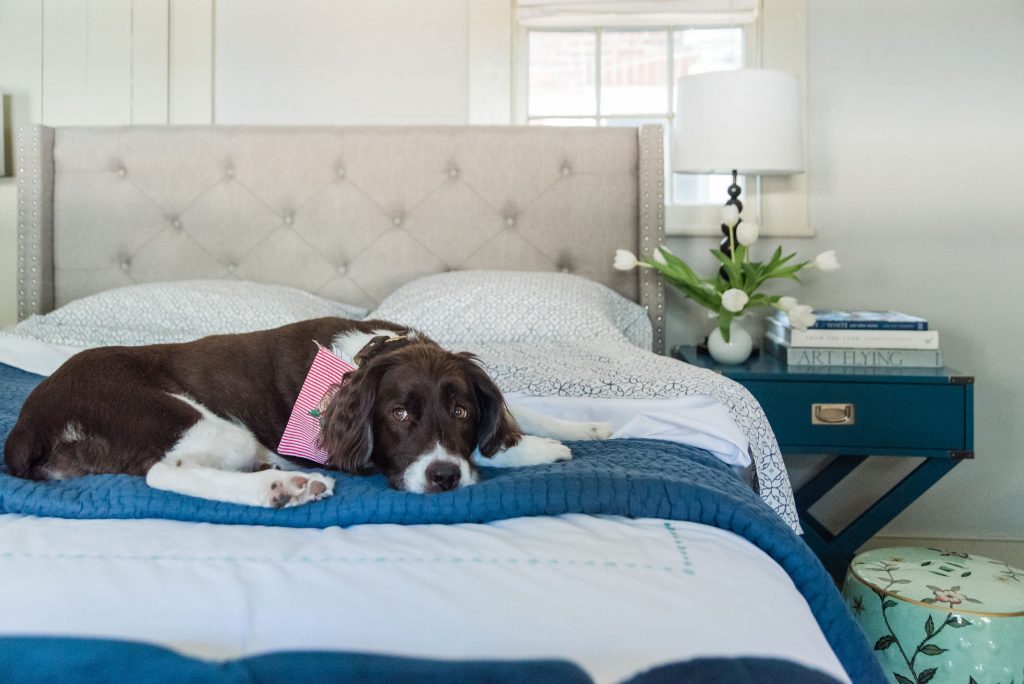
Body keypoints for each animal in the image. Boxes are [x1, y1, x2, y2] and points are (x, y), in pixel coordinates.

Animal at [4, 317, 610, 505]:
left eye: (460, 411)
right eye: (400, 415)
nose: (443, 478)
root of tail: (30, 420)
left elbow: (512, 411)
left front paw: (585, 424)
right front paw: (537, 450)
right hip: (191, 420)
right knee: (163, 473)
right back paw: (281, 487)